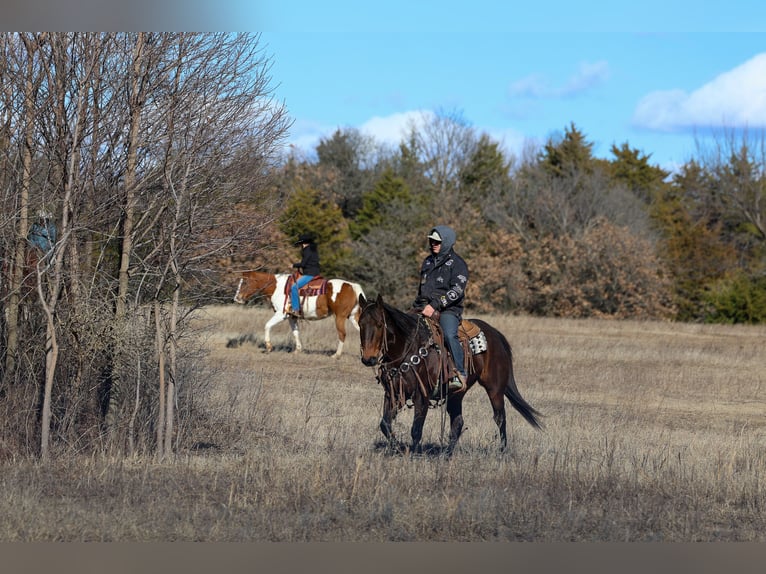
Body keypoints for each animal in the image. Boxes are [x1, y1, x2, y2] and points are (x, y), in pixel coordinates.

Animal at [233, 271, 366, 358]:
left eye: (245, 283)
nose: (237, 298)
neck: (276, 287)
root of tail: (353, 286)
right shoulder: (292, 317)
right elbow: (296, 332)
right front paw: (298, 350)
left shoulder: (281, 314)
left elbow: (267, 325)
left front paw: (269, 347)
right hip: (353, 317)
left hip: (340, 317)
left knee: (342, 334)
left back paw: (336, 355)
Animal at [358, 293, 542, 456]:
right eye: (360, 324)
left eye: (379, 324)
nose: (368, 358)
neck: (408, 347)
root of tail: (495, 334)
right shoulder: (394, 394)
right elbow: (385, 425)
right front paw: (397, 447)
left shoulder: (421, 396)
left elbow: (416, 429)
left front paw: (413, 456)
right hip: (457, 394)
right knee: (458, 422)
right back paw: (446, 454)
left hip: (495, 388)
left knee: (500, 418)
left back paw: (501, 452)